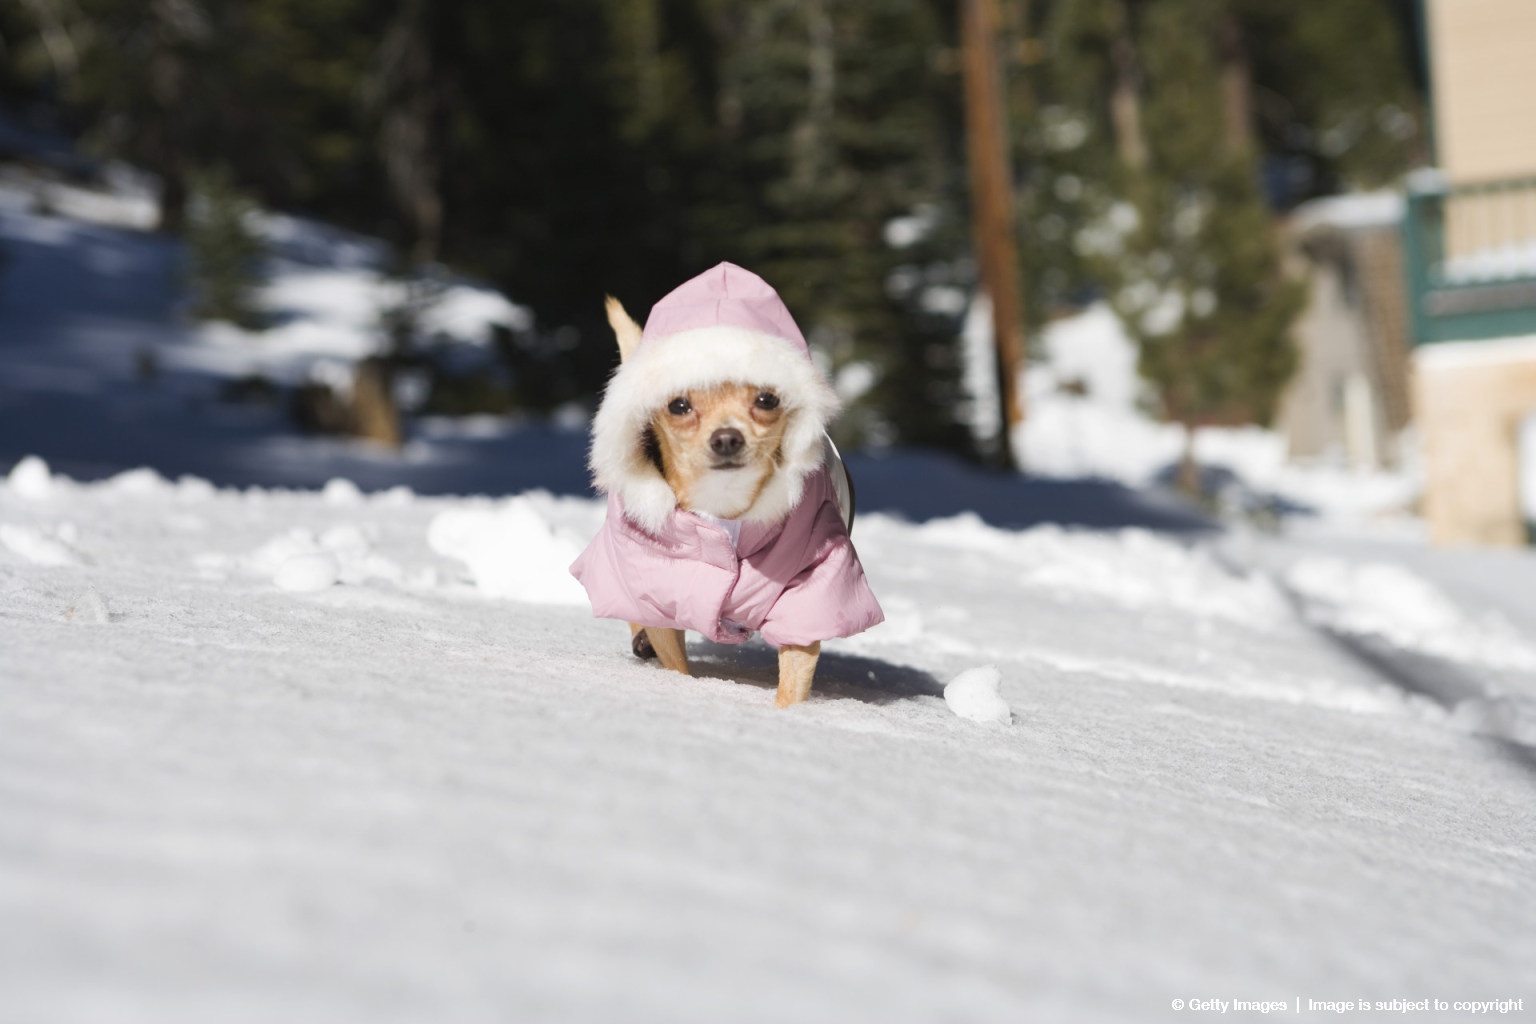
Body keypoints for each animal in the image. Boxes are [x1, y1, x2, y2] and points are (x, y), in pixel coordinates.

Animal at [568, 262, 884, 706]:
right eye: (678, 405)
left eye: (767, 399)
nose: (727, 438)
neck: (724, 506)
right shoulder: (659, 586)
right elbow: (675, 660)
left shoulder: (812, 591)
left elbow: (795, 675)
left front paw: (789, 715)